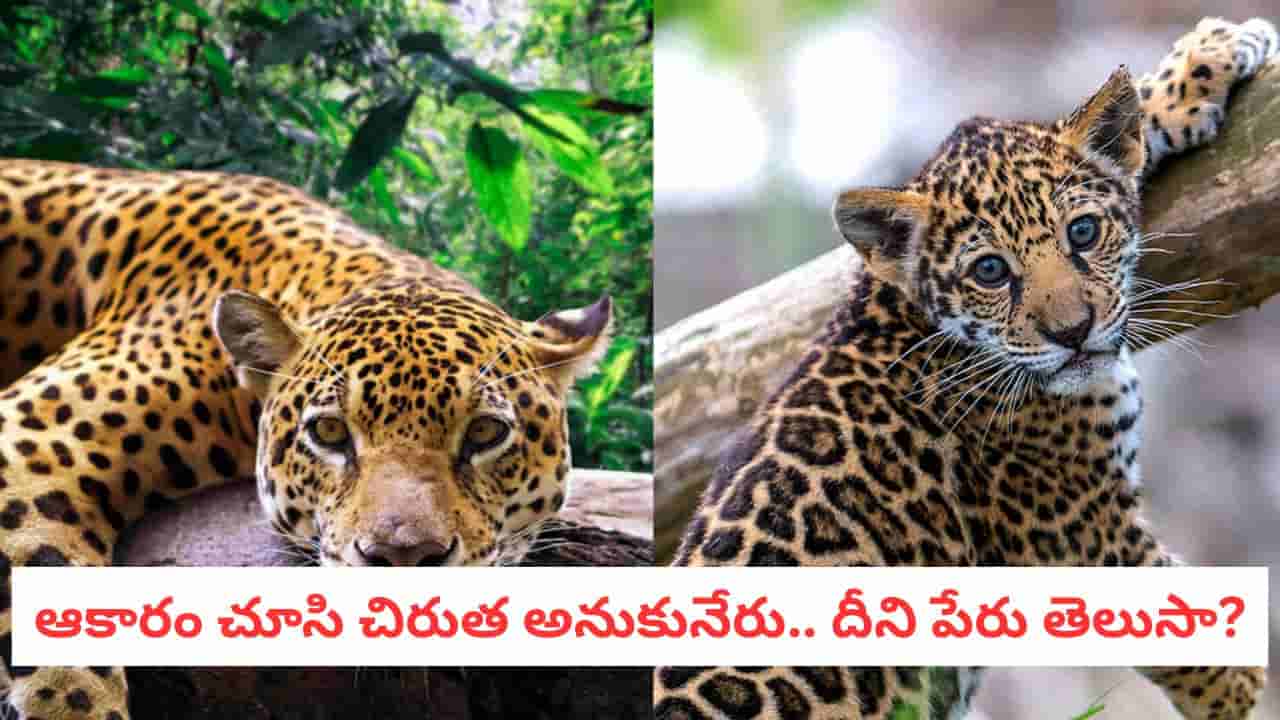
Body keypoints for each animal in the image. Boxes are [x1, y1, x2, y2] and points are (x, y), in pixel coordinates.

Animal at [655, 16, 1277, 720]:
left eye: (1083, 233)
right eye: (990, 271)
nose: (1073, 332)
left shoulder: (880, 268)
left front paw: (1207, 56)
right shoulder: (1069, 523)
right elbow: (1155, 599)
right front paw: (1234, 687)